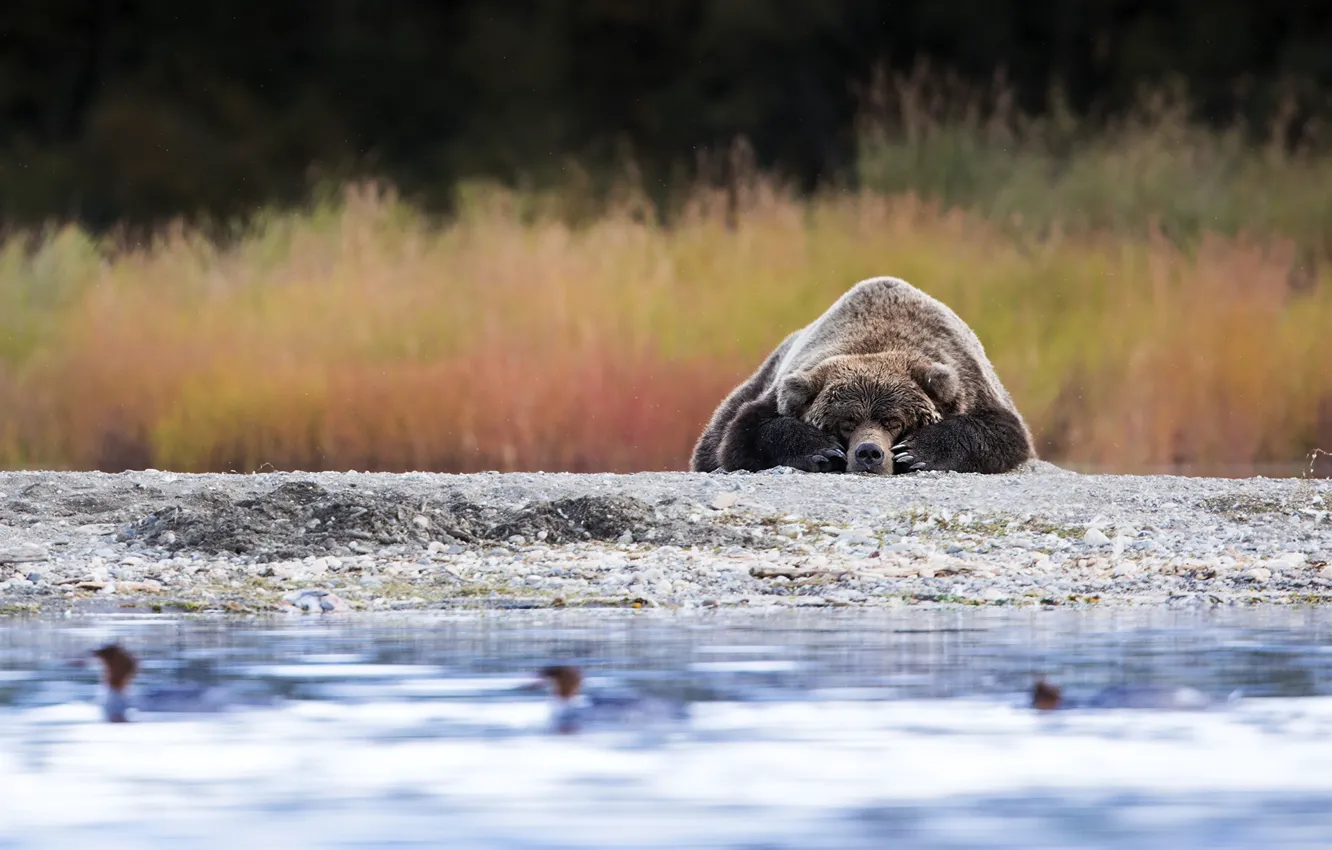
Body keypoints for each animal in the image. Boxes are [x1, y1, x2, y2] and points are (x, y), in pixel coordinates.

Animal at [690, 276, 1035, 475]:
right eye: (846, 422)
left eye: (893, 421)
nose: (869, 452)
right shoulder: (785, 386)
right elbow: (743, 434)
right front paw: (821, 448)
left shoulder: (968, 380)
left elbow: (1002, 431)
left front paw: (914, 451)